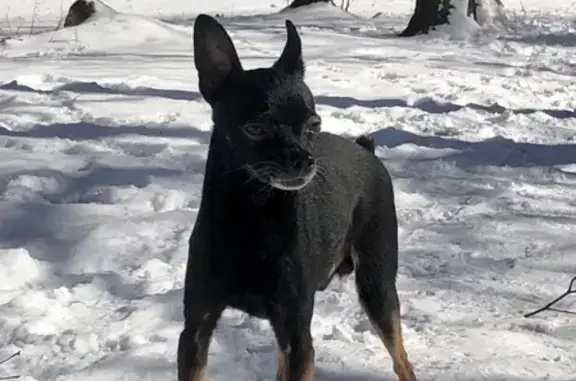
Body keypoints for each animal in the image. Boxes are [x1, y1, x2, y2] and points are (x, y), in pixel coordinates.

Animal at [178, 13, 416, 378]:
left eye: (314, 126)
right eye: (256, 129)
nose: (305, 159)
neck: (253, 216)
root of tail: (367, 152)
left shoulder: (298, 336)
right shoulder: (195, 328)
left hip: (377, 287)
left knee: (402, 361)